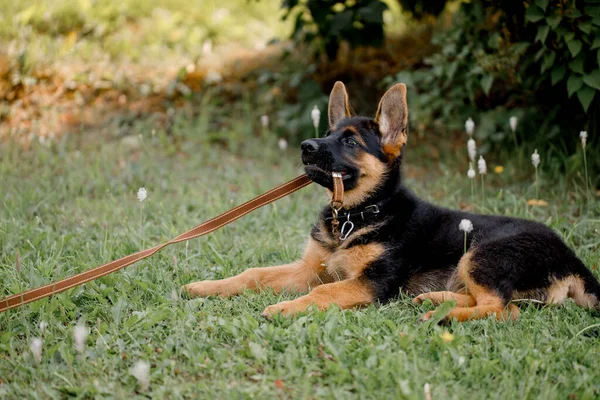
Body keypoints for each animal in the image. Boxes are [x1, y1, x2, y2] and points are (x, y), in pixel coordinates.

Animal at [183, 83, 600, 324]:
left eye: (350, 141)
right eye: (328, 132)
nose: (306, 147)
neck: (356, 215)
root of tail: (572, 259)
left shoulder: (371, 282)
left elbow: (323, 293)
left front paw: (286, 308)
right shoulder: (310, 269)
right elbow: (253, 274)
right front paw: (207, 286)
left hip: (482, 252)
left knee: (504, 308)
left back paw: (443, 315)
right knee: (500, 302)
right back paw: (436, 299)